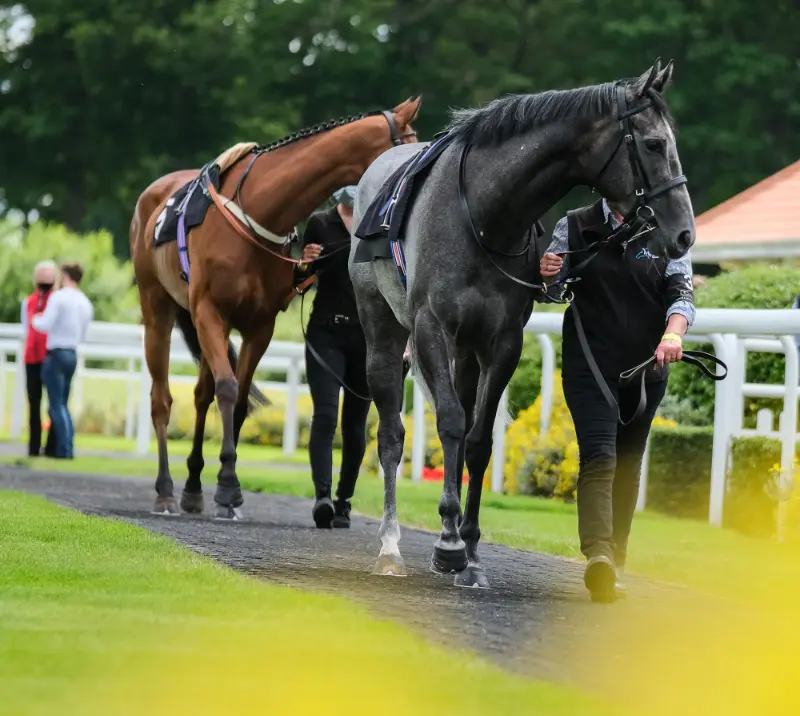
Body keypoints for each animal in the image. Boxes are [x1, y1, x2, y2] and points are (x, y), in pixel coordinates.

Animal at [130, 97, 421, 519]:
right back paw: (165, 490)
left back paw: (192, 487)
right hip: (157, 309)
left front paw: (225, 486)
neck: (258, 210)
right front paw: (228, 487)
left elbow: (236, 399)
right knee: (161, 399)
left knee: (201, 395)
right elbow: (229, 390)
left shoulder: (259, 325)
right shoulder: (209, 312)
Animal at [349, 60, 693, 587]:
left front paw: (469, 551)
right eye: (654, 144)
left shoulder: (501, 342)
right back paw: (390, 548)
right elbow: (450, 424)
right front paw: (448, 543)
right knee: (390, 435)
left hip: (467, 353)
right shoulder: (432, 328)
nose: (685, 234)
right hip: (383, 330)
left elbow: (478, 440)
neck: (484, 217)